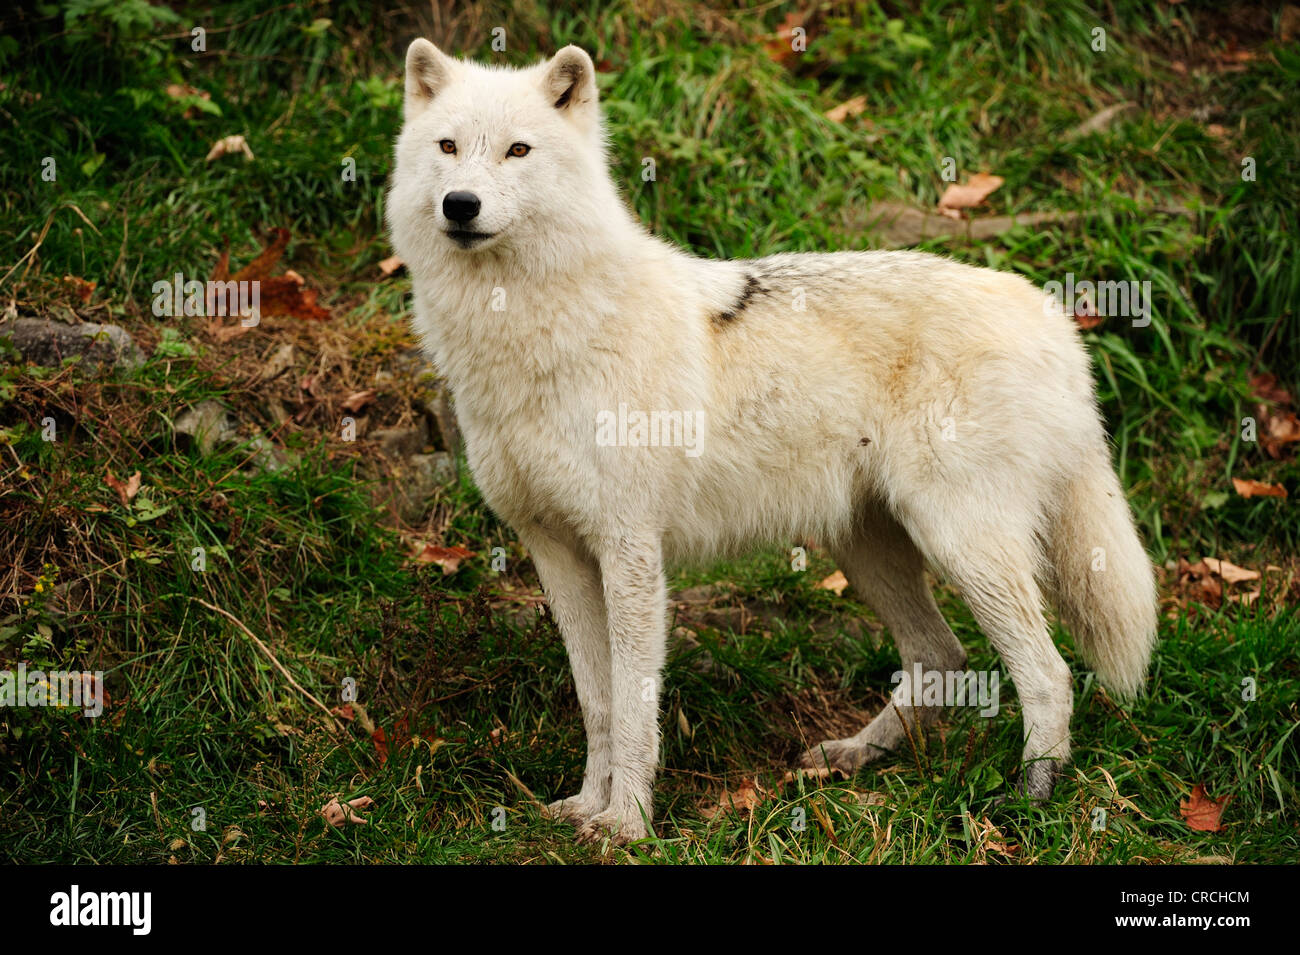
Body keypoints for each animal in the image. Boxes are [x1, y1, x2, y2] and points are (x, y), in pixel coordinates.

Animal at [384, 41, 1159, 841]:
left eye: (517, 150)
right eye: (447, 147)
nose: (460, 204)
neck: (534, 335)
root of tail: (1053, 318)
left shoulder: (629, 549)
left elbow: (632, 704)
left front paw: (628, 822)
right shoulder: (555, 549)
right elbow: (597, 700)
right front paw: (585, 806)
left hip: (960, 542)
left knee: (1048, 671)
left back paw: (1032, 798)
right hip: (867, 547)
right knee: (940, 658)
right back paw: (853, 755)